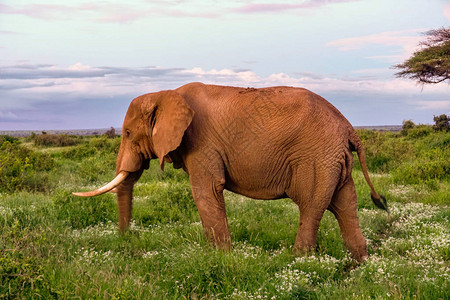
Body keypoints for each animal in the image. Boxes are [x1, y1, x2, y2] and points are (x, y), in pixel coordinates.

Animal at [74, 82, 386, 262]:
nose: (126, 238)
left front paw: (221, 258)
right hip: (334, 160)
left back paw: (297, 262)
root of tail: (349, 128)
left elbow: (205, 192)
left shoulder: (202, 143)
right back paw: (361, 265)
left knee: (311, 206)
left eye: (128, 133)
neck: (165, 94)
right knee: (345, 205)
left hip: (316, 157)